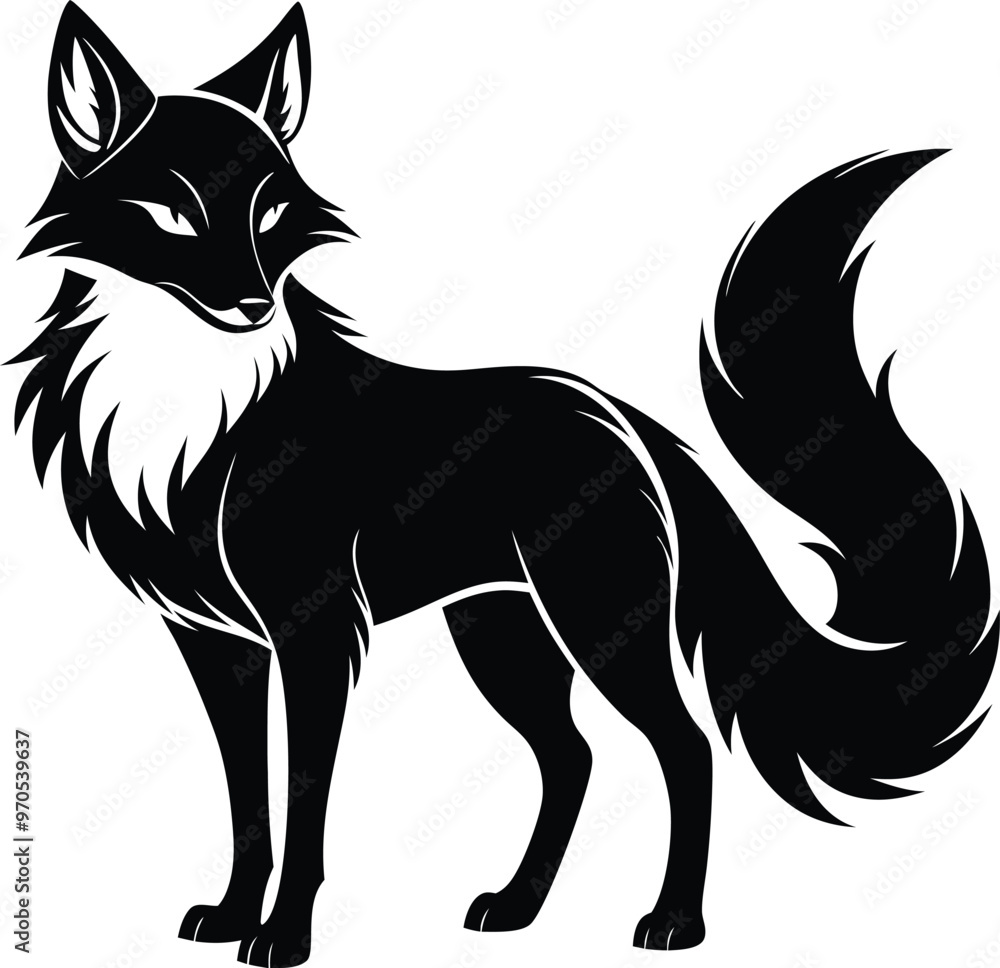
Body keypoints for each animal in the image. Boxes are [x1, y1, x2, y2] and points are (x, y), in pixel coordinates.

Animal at [11, 3, 998, 966]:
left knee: (684, 750)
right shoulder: (215, 645)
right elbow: (246, 799)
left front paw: (283, 937)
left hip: (599, 628)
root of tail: (623, 416)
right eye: (172, 213)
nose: (254, 306)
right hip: (502, 637)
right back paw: (517, 907)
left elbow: (303, 804)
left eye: (270, 211)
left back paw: (673, 924)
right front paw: (227, 916)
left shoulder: (313, 635)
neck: (188, 404)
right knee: (573, 760)